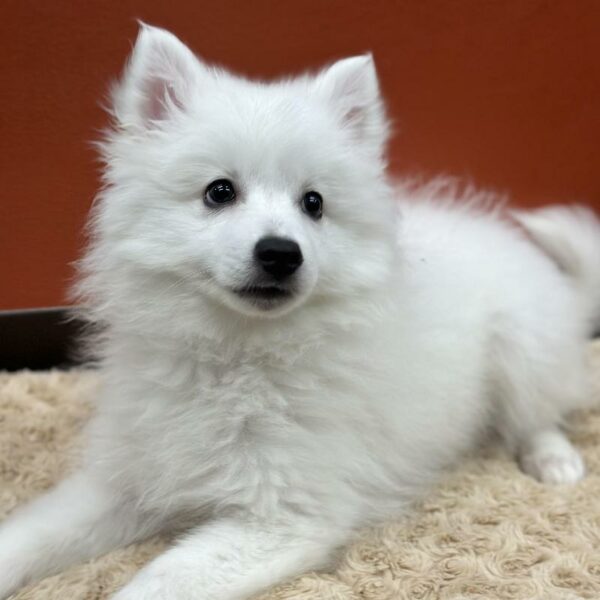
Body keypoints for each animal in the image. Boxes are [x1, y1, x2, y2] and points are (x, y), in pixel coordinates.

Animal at [1, 23, 600, 600]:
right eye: (219, 192)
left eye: (314, 203)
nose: (281, 253)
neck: (236, 353)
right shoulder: (123, 478)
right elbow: (31, 534)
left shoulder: (284, 517)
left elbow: (158, 582)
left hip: (524, 345)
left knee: (540, 414)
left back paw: (554, 460)